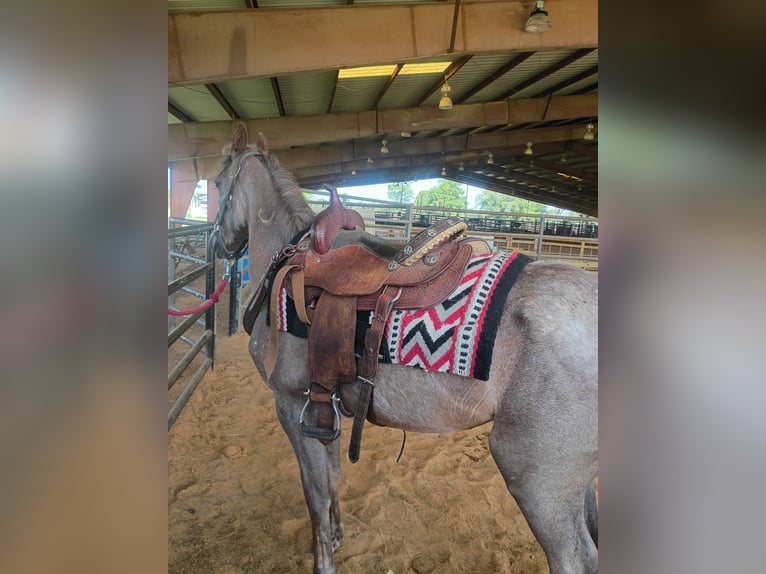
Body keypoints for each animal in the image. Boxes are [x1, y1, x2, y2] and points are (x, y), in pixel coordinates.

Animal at [210, 123, 598, 574]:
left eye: (216, 184)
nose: (217, 243)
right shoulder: (322, 406)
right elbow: (333, 476)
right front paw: (338, 535)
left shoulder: (289, 403)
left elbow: (314, 494)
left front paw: (324, 560)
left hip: (538, 482)